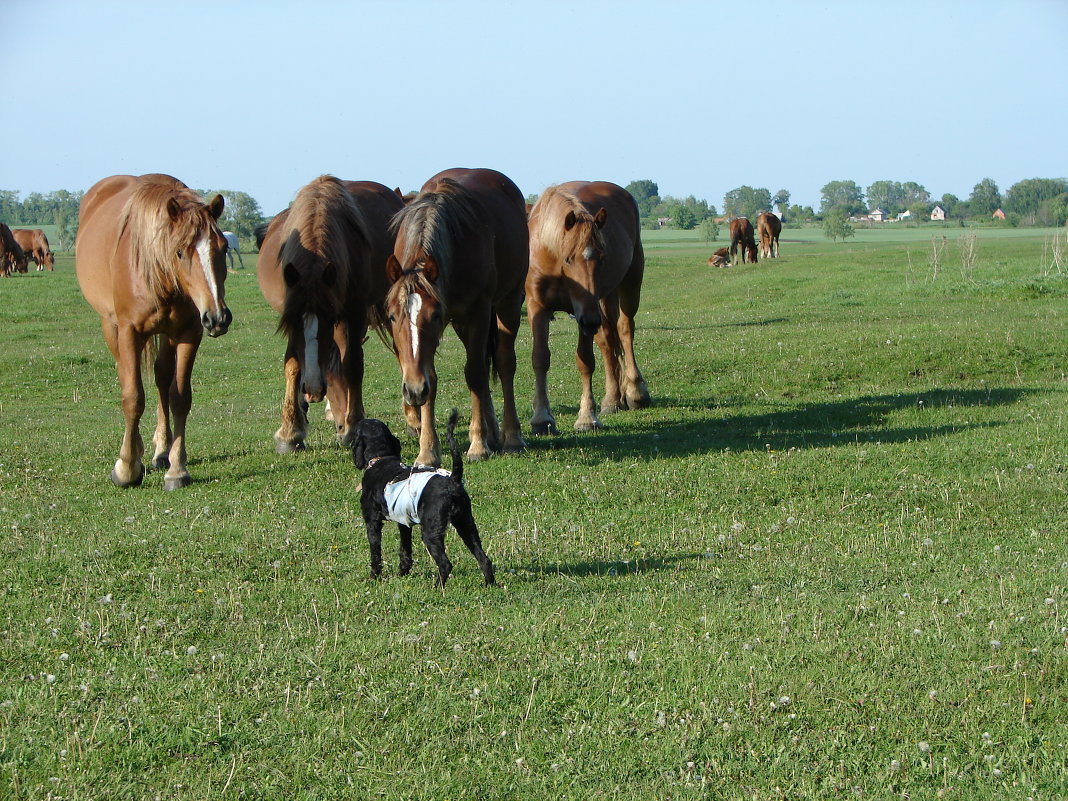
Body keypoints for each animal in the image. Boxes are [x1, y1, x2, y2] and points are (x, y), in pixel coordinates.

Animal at [73, 174, 231, 489]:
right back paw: (136, 450)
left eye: (224, 248)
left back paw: (161, 451)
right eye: (180, 251)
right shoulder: (129, 332)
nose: (218, 317)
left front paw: (177, 469)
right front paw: (126, 468)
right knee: (126, 375)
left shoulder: (188, 333)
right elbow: (133, 397)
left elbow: (180, 397)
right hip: (111, 326)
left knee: (161, 379)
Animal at [254, 175, 401, 452]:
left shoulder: (353, 313)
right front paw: (290, 433)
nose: (312, 389)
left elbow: (352, 365)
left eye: (329, 319)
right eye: (293, 322)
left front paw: (352, 427)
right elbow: (292, 364)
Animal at [354, 410, 495, 585]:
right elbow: (405, 550)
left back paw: (437, 586)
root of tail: (452, 480)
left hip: (431, 531)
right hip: (466, 524)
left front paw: (374, 576)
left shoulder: (372, 521)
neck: (381, 459)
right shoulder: (404, 523)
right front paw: (403, 572)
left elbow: (375, 553)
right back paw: (489, 584)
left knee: (446, 564)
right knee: (484, 559)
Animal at [388, 169, 529, 469]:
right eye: (392, 316)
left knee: (503, 363)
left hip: (508, 303)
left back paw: (511, 436)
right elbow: (431, 378)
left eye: (434, 314)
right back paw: (493, 431)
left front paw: (477, 445)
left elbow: (475, 374)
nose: (412, 390)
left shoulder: (478, 313)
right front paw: (427, 450)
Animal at [525, 181, 649, 435]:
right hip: (604, 300)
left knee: (625, 330)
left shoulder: (584, 313)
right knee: (608, 340)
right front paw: (542, 418)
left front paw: (586, 417)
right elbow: (540, 358)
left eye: (602, 257)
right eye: (569, 258)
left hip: (628, 286)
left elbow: (585, 361)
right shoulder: (538, 308)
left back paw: (635, 392)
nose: (591, 321)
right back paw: (613, 399)